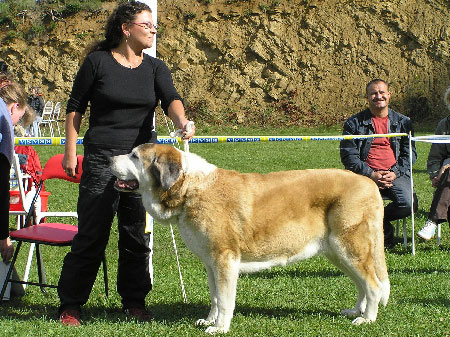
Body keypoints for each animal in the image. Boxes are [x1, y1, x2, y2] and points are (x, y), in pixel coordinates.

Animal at [110, 142, 388, 334]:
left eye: (134, 156)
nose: (109, 158)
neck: (190, 187)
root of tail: (369, 183)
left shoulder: (224, 260)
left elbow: (224, 299)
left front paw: (219, 327)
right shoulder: (211, 263)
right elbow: (214, 296)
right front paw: (208, 320)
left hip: (348, 248)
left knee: (373, 284)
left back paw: (367, 319)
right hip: (338, 252)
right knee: (362, 284)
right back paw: (356, 310)